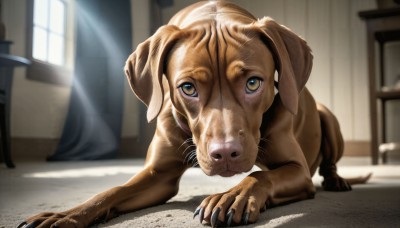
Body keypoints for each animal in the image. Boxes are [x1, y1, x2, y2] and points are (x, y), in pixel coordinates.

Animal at [18, 2, 368, 228]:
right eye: (188, 88)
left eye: (253, 83)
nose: (225, 154)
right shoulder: (158, 175)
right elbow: (111, 191)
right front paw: (64, 215)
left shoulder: (296, 170)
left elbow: (260, 175)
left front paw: (230, 198)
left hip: (328, 119)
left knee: (329, 161)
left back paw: (337, 181)